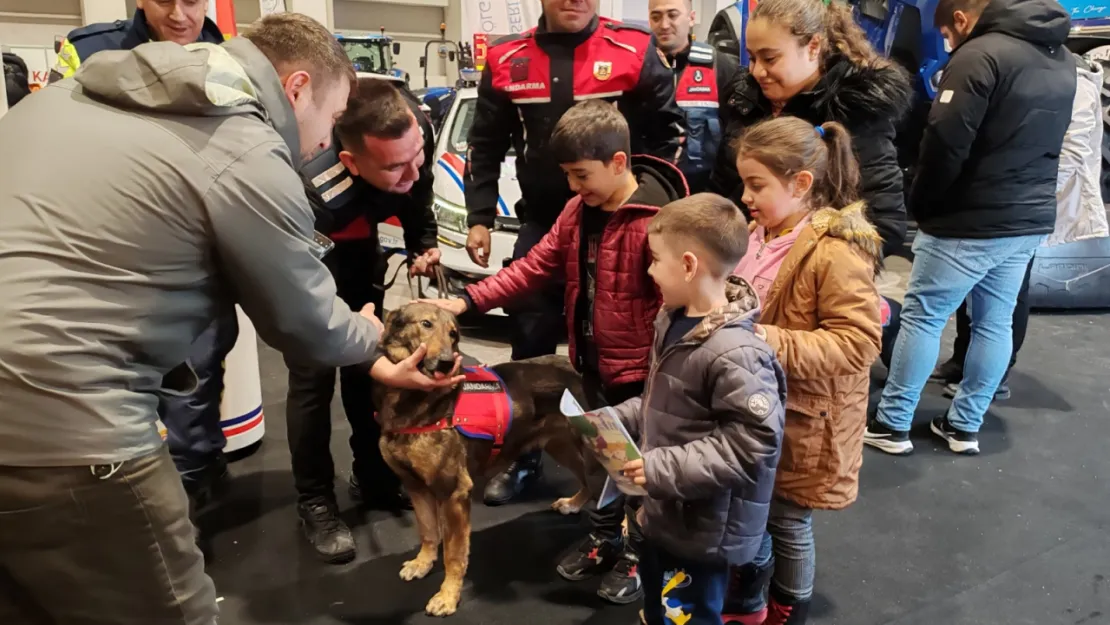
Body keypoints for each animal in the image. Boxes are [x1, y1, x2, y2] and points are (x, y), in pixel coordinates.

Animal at [375, 304, 599, 617]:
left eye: (453, 334)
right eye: (426, 324)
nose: (446, 363)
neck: (414, 401)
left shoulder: (454, 494)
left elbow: (454, 555)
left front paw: (448, 596)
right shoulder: (416, 487)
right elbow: (428, 532)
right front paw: (422, 563)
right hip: (561, 446)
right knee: (588, 483)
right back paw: (574, 503)